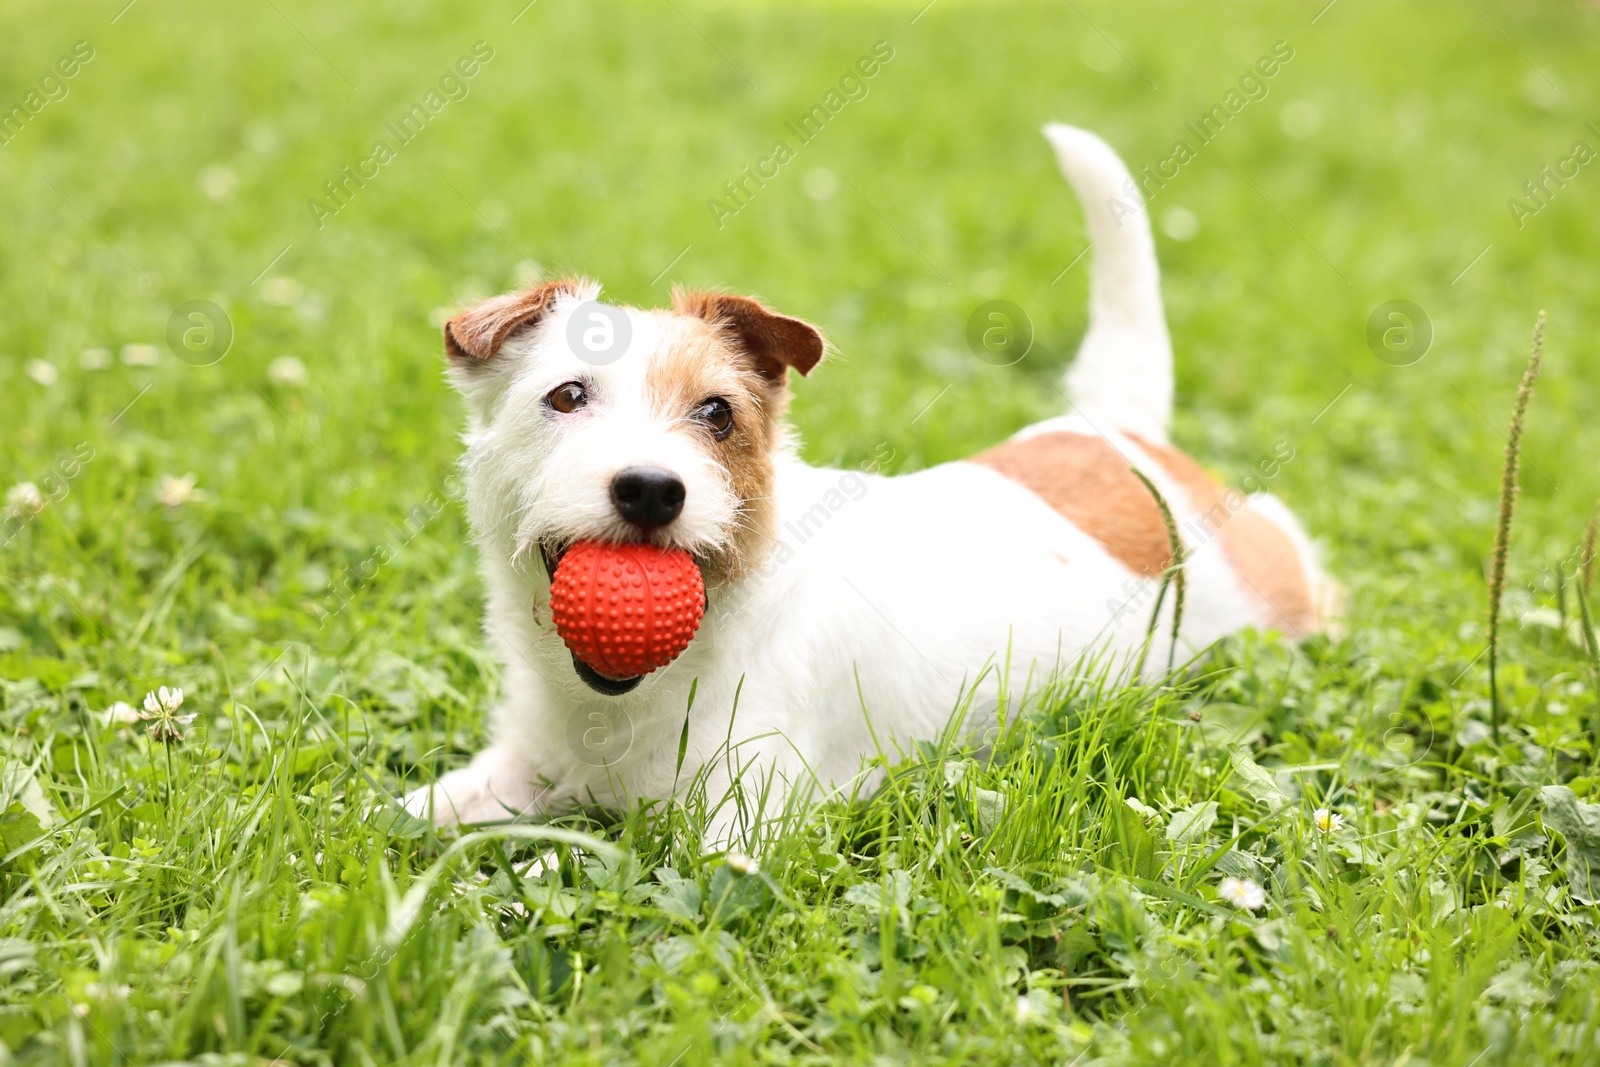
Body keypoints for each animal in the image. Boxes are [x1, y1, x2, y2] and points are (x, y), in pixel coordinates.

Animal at [406, 125, 1331, 844]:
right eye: (567, 395)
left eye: (717, 413)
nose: (651, 489)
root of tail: (1116, 430)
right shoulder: (517, 764)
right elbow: (406, 814)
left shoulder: (738, 826)